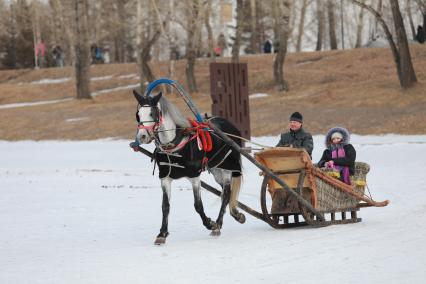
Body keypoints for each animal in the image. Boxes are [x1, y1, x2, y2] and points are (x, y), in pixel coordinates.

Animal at [133, 89, 246, 244]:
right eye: (138, 114)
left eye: (153, 113)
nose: (142, 136)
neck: (174, 146)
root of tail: (230, 125)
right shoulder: (165, 178)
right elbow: (165, 206)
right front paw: (162, 234)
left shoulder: (194, 177)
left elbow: (198, 205)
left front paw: (210, 224)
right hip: (216, 169)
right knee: (225, 192)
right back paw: (236, 214)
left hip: (227, 168)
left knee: (227, 193)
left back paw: (218, 224)